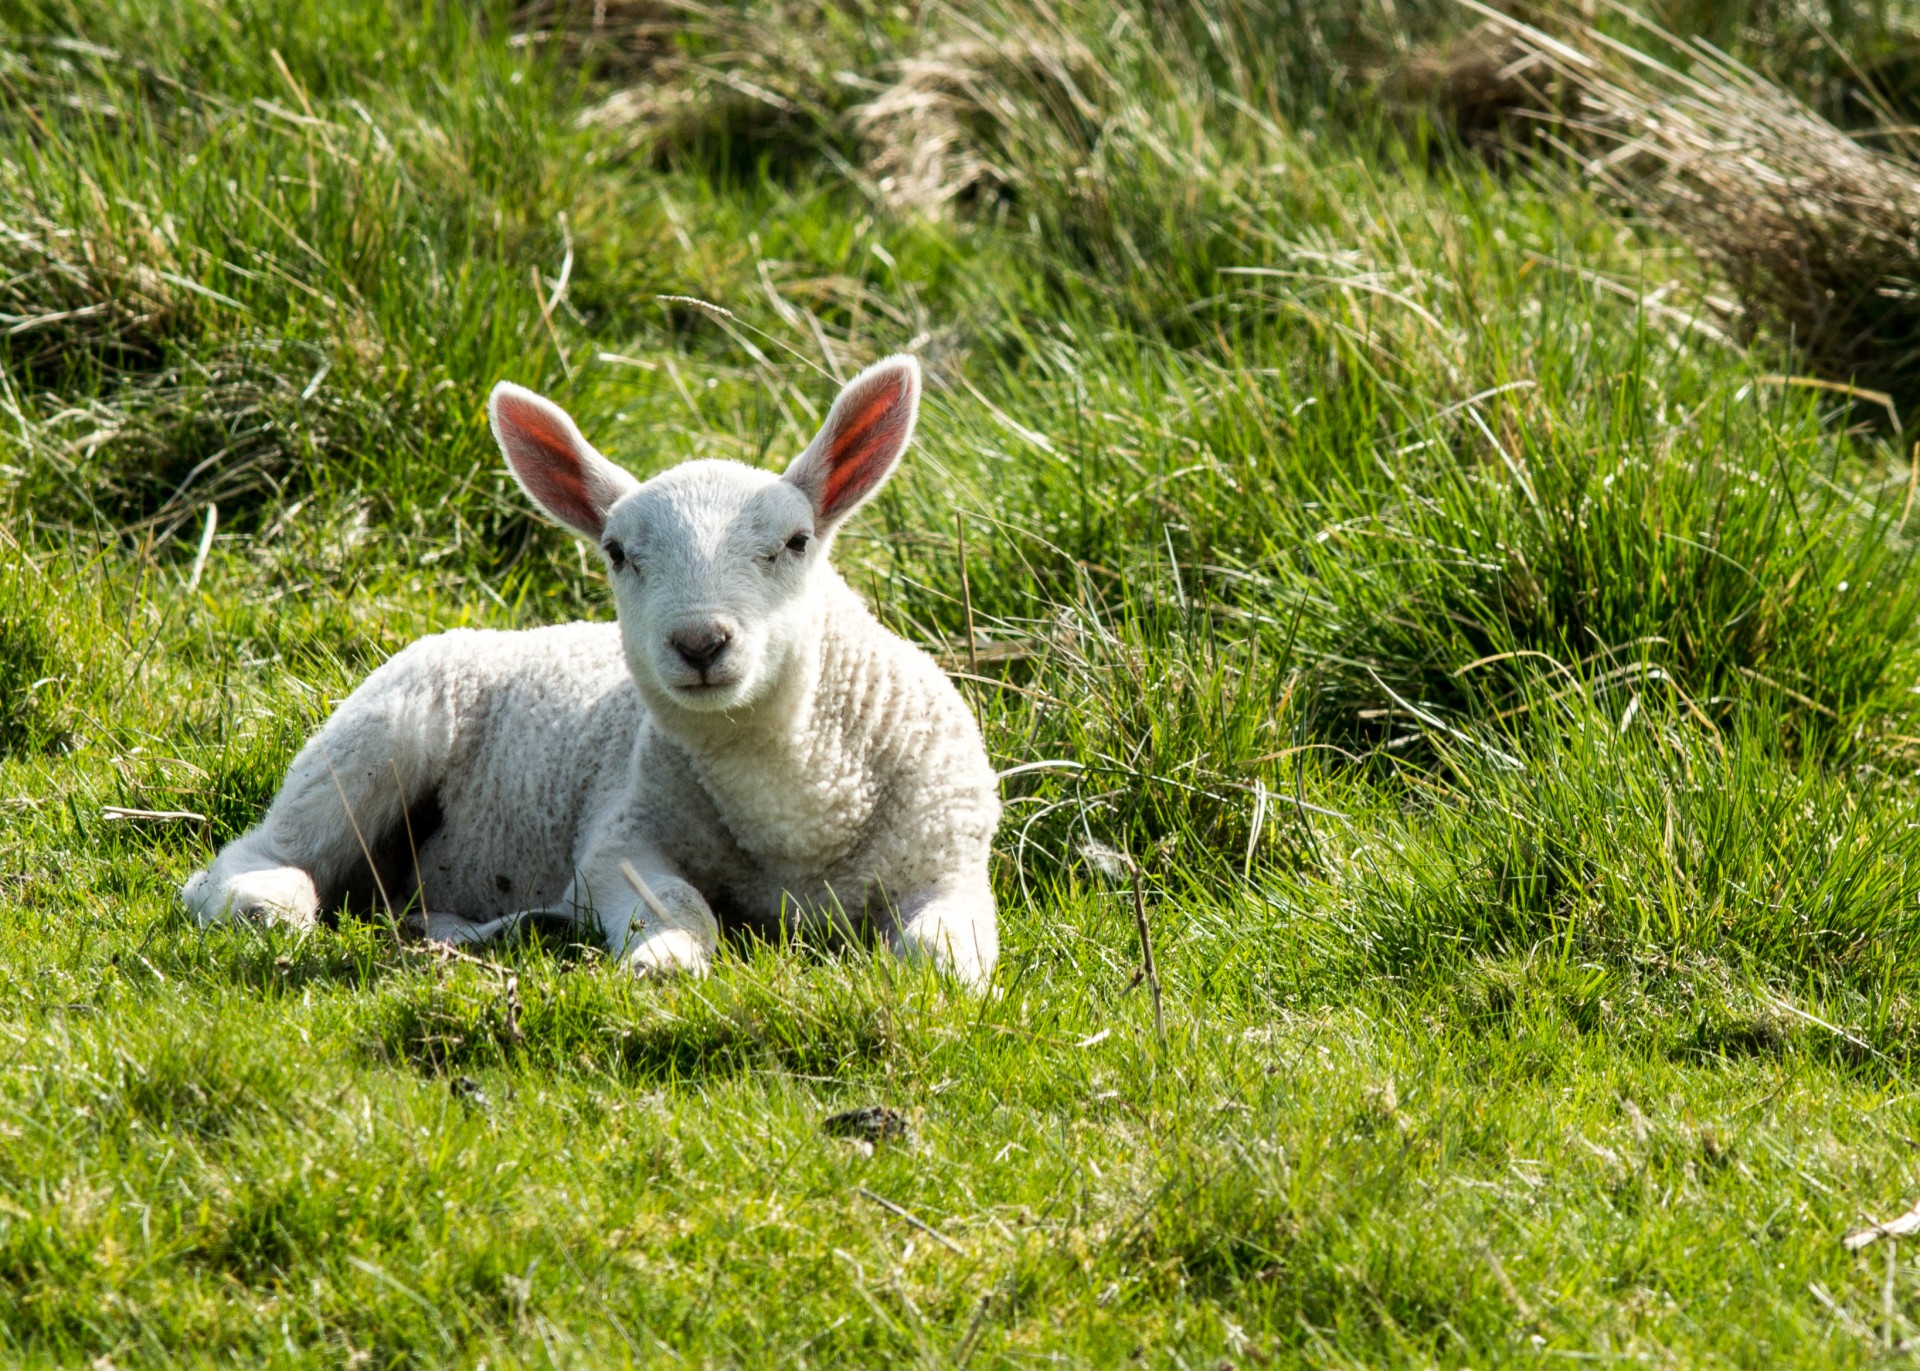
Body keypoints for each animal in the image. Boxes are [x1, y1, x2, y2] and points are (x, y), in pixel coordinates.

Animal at [180, 355, 1006, 983]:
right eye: (617, 552)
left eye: (796, 542)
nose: (700, 641)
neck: (794, 822)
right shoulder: (619, 835)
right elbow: (677, 901)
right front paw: (664, 959)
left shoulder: (952, 861)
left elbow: (944, 953)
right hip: (375, 736)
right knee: (259, 853)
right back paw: (266, 900)